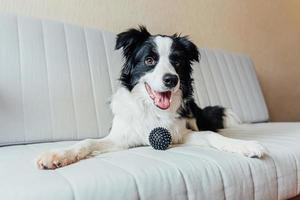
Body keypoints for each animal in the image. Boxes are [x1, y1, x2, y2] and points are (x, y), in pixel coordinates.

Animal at [37, 25, 264, 170]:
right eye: (149, 60)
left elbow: (211, 135)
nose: (171, 80)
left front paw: (244, 145)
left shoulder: (181, 134)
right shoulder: (120, 138)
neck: (152, 110)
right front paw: (57, 154)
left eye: (177, 62)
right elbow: (87, 142)